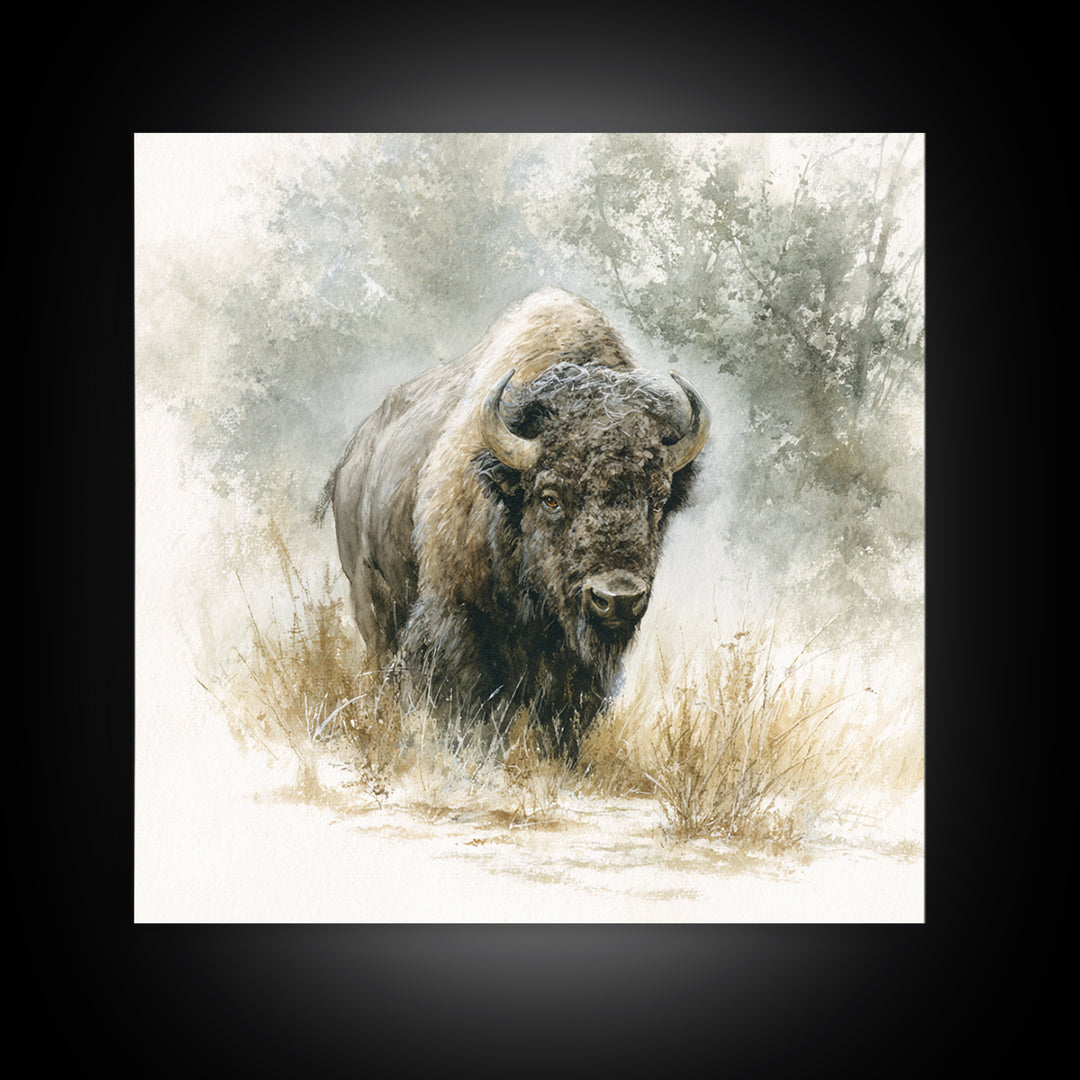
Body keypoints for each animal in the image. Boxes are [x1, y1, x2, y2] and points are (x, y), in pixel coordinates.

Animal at [318, 288, 710, 755]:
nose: (617, 598)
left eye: (658, 499)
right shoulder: (457, 623)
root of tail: (351, 458)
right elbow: (468, 708)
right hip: (371, 600)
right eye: (550, 497)